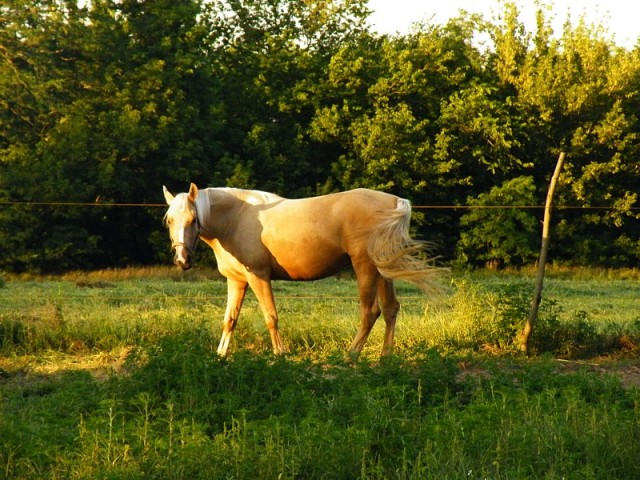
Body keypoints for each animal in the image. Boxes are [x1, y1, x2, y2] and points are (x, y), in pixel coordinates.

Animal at [162, 184, 442, 360]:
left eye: (193, 219)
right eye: (169, 220)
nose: (182, 260)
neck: (235, 219)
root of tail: (395, 202)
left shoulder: (258, 277)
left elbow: (270, 317)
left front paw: (280, 354)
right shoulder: (237, 281)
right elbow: (229, 320)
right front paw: (221, 354)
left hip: (365, 268)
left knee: (370, 312)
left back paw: (350, 356)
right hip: (383, 270)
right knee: (391, 309)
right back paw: (385, 358)